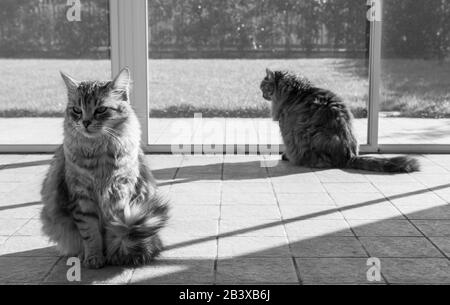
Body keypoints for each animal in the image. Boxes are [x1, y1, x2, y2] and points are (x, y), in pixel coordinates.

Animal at [39, 67, 167, 268]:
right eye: (77, 110)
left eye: (100, 110)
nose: (85, 122)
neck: (98, 157)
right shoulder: (81, 196)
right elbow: (91, 234)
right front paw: (94, 258)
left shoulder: (120, 191)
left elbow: (114, 228)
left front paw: (115, 254)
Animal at [262, 67, 420, 171]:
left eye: (263, 87)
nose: (262, 94)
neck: (297, 91)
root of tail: (349, 156)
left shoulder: (286, 128)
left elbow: (287, 145)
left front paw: (286, 156)